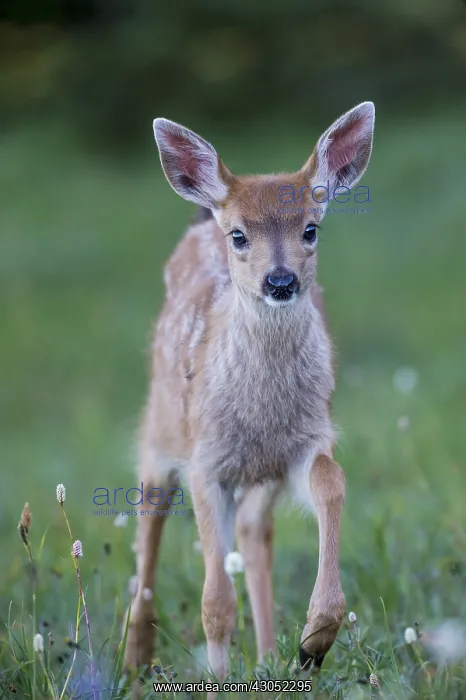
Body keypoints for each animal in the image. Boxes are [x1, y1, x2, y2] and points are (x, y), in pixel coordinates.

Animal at [124, 102, 375, 690]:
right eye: (239, 236)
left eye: (311, 229)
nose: (280, 282)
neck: (263, 414)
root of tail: (201, 217)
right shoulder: (206, 461)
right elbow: (215, 602)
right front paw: (216, 684)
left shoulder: (306, 441)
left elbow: (332, 482)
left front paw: (313, 642)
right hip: (160, 432)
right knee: (148, 535)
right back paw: (134, 662)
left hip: (261, 479)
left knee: (255, 534)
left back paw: (267, 658)